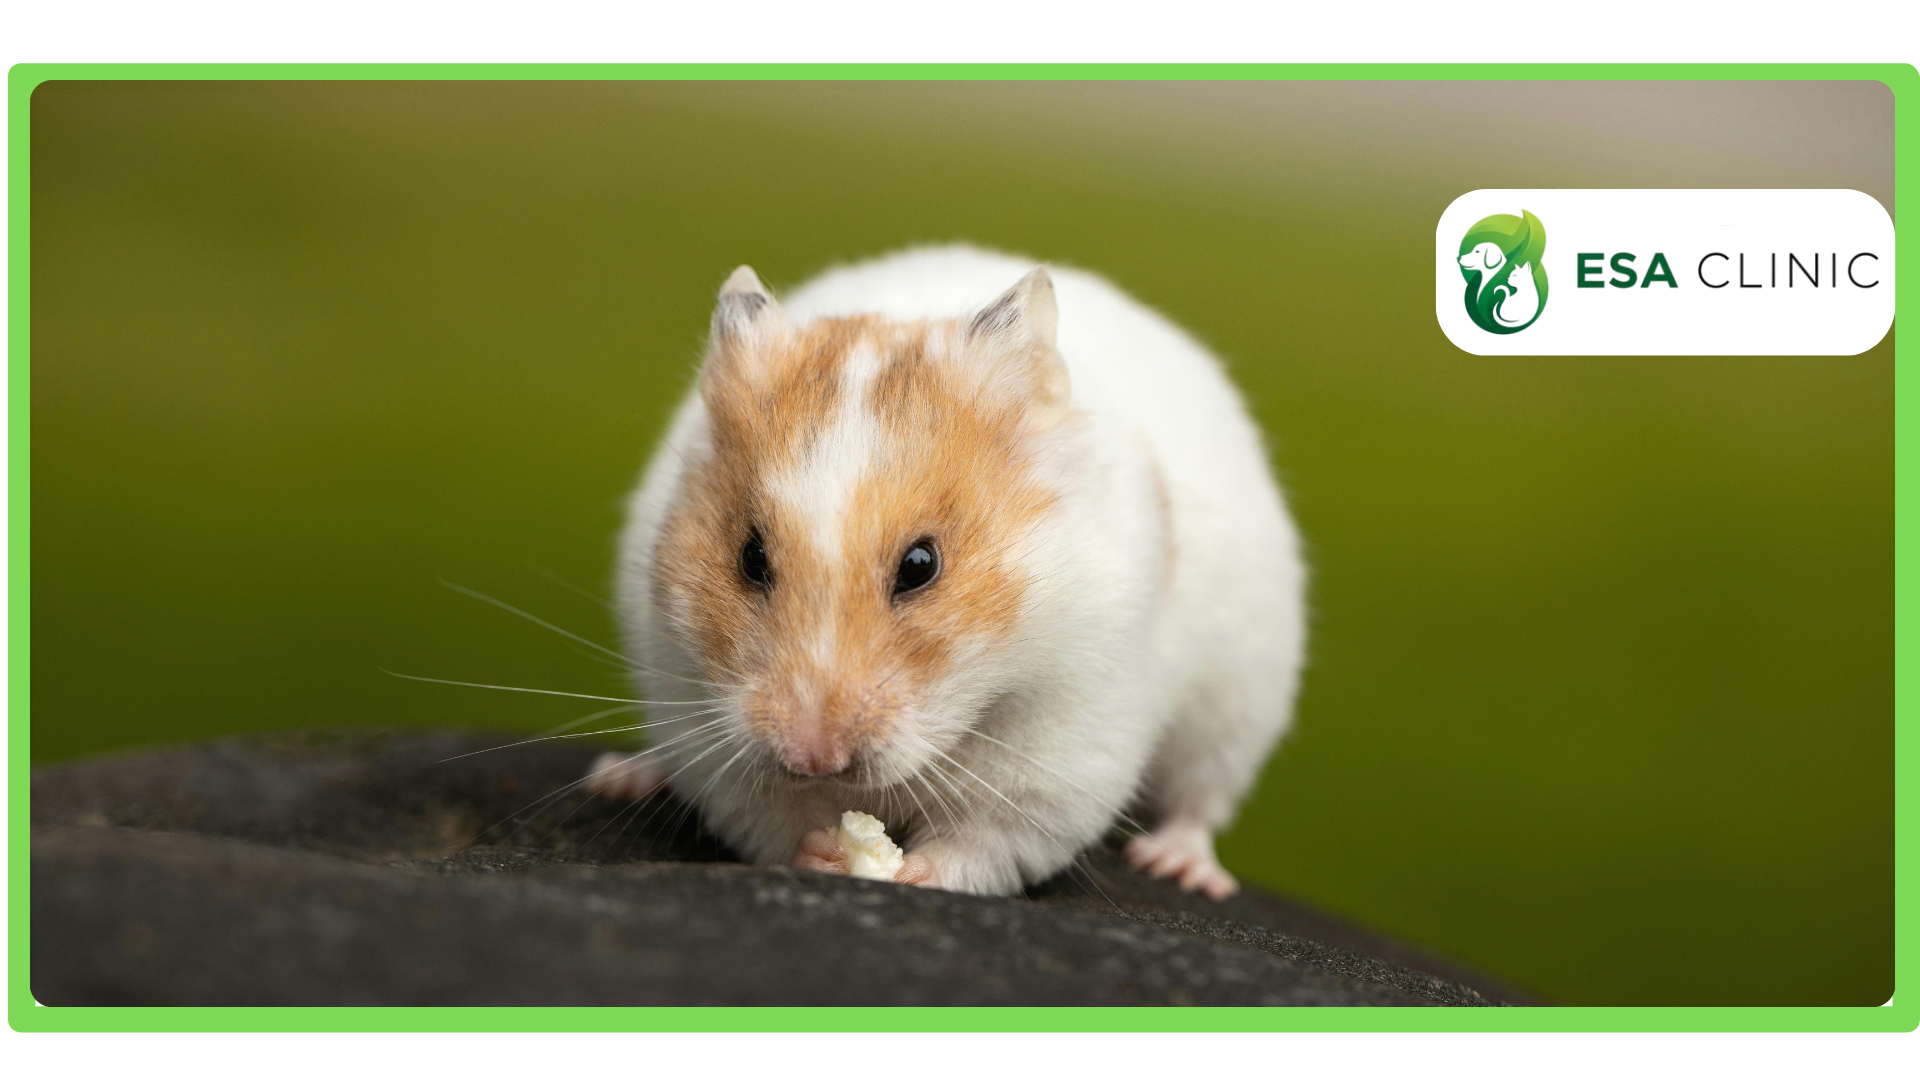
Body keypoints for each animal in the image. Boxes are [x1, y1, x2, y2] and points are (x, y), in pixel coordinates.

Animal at [588, 245, 1306, 900]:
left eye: (920, 565)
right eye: (750, 557)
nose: (814, 758)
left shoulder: (1061, 750)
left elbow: (984, 841)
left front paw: (909, 872)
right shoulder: (703, 722)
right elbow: (771, 818)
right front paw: (828, 852)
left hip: (1239, 703)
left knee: (1200, 800)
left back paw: (1181, 868)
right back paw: (623, 777)